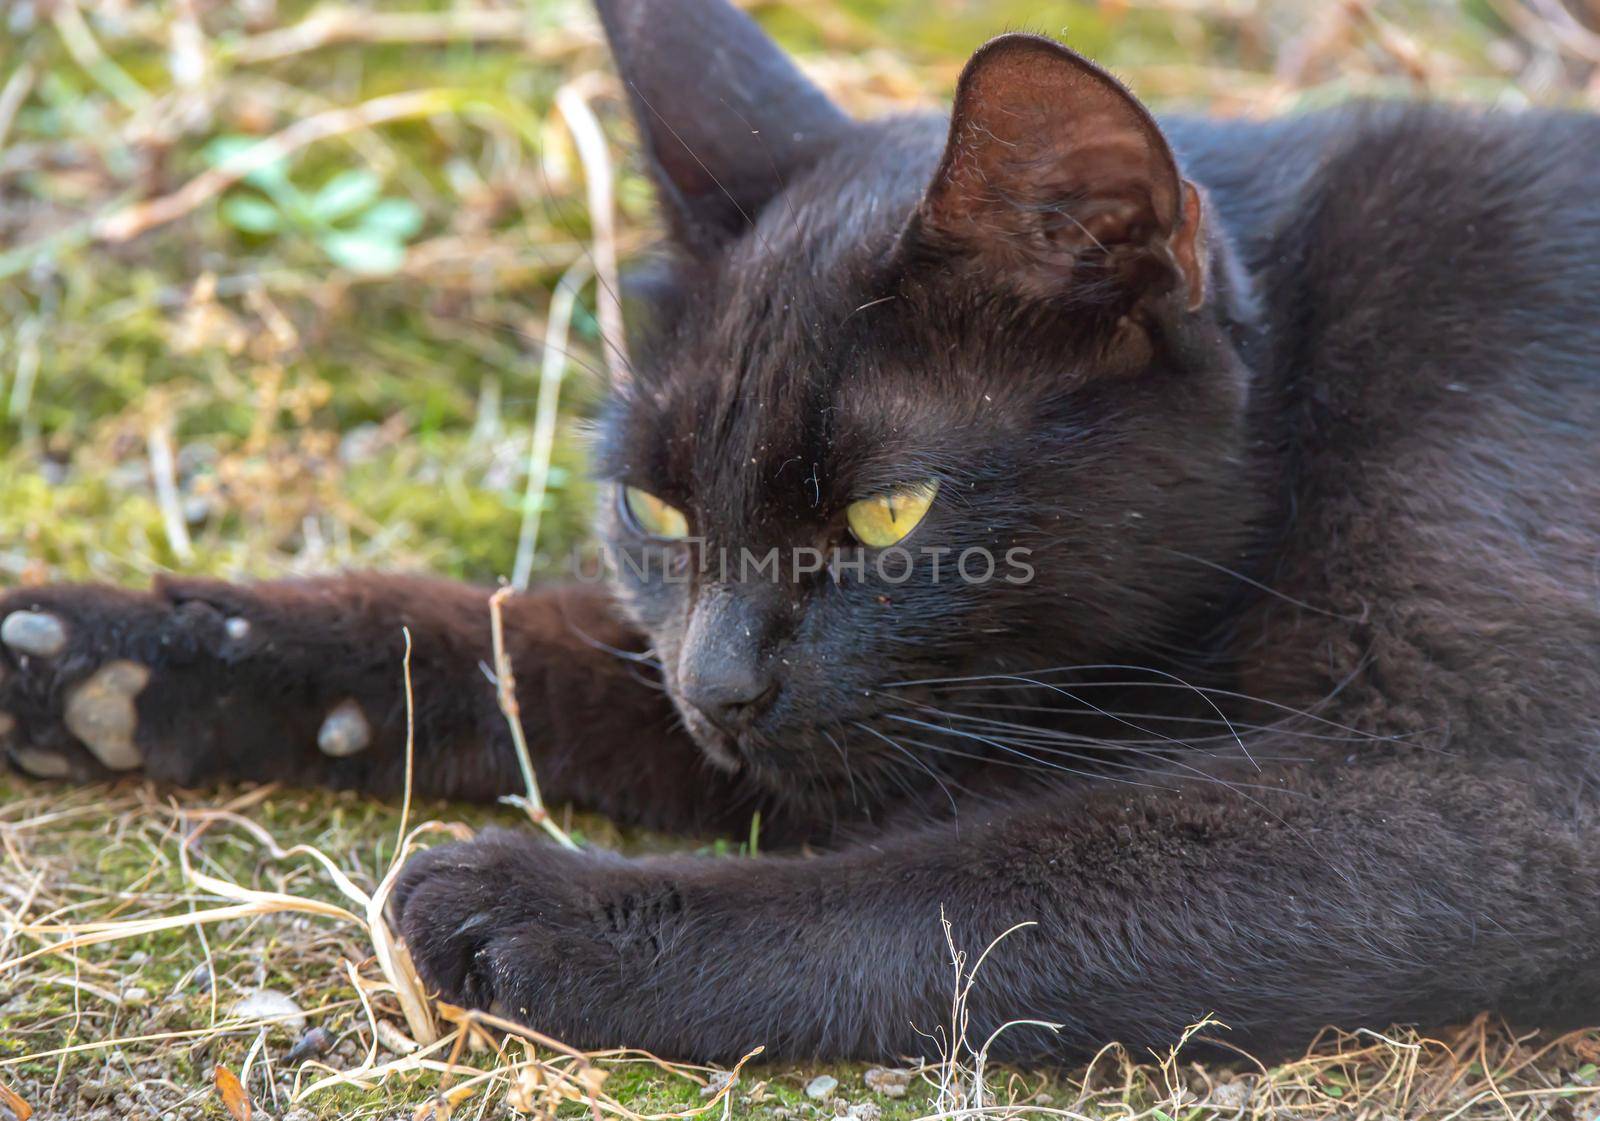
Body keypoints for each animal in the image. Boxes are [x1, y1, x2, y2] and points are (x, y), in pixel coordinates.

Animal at [3, 0, 1600, 1061]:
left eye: (890, 513)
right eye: (654, 506)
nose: (719, 686)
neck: (1321, 385)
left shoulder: (1493, 782)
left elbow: (974, 891)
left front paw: (538, 907)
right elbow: (503, 638)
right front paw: (109, 653)